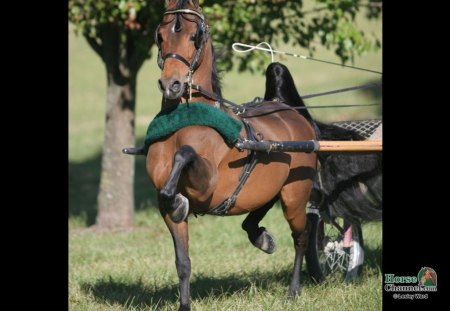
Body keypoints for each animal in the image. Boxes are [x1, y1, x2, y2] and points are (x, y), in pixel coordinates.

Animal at [147, 1, 316, 310]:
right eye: (161, 36)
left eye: (195, 36)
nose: (171, 85)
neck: (182, 123)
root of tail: (286, 109)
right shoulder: (163, 208)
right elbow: (183, 262)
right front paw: (184, 304)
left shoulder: (206, 187)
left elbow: (185, 155)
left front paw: (178, 199)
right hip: (268, 187)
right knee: (258, 213)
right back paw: (261, 238)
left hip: (295, 195)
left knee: (302, 236)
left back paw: (294, 289)